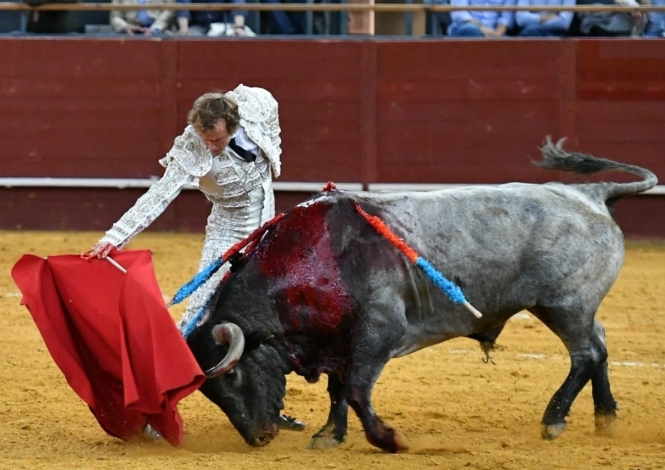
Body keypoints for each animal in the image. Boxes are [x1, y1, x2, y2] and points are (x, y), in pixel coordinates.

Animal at [184, 139, 656, 452]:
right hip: (574, 309)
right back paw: (606, 417)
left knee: (586, 354)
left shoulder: (380, 333)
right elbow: (338, 389)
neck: (310, 262)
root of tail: (590, 194)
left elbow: (355, 389)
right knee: (600, 344)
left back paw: (554, 420)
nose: (258, 437)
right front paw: (329, 435)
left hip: (565, 305)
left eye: (233, 376)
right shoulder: (338, 340)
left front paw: (389, 439)